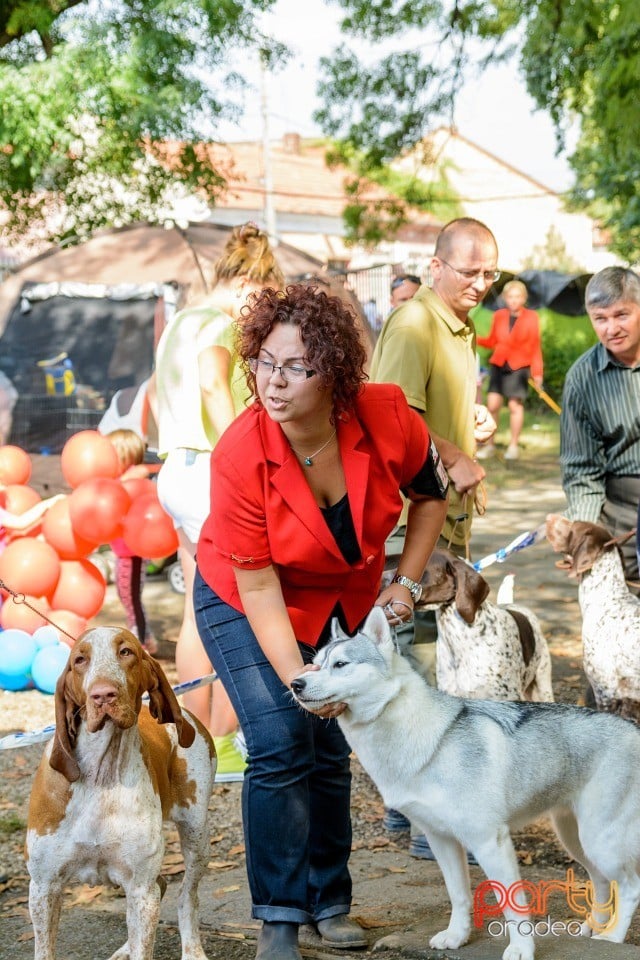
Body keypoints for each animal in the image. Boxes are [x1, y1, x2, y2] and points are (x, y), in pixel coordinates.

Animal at [25, 628, 218, 960]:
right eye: (80, 659)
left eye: (126, 652)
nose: (103, 695)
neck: (101, 777)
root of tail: (189, 715)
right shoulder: (43, 886)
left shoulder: (140, 887)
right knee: (163, 885)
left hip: (196, 836)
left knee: (186, 896)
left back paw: (192, 950)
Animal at [292, 608, 640, 960]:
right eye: (315, 664)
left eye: (340, 664)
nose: (295, 683)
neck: (428, 739)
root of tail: (633, 728)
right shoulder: (441, 841)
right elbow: (458, 895)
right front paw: (456, 937)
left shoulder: (489, 841)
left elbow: (512, 905)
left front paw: (520, 949)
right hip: (577, 840)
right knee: (601, 882)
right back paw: (592, 930)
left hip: (599, 841)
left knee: (629, 886)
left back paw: (611, 938)